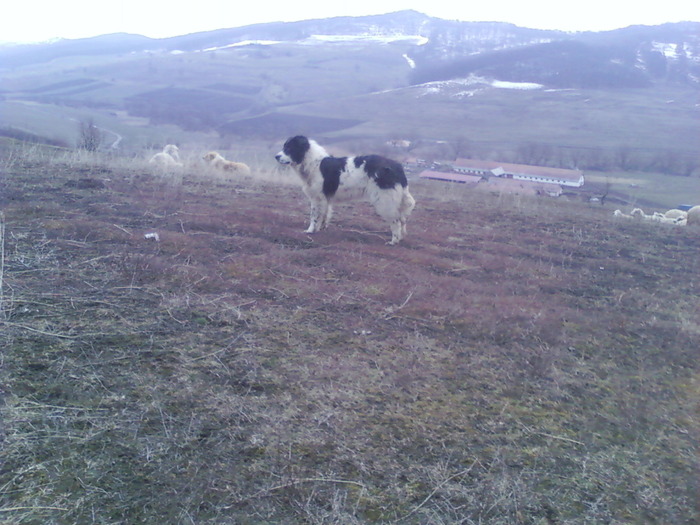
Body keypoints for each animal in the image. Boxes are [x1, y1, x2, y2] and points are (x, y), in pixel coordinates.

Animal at [274, 134, 416, 243]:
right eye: (284, 147)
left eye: (289, 148)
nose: (276, 156)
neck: (314, 163)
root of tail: (397, 167)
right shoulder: (325, 198)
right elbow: (324, 215)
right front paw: (320, 229)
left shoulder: (317, 197)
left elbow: (314, 216)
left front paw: (310, 231)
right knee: (402, 219)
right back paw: (400, 238)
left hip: (385, 200)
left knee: (396, 221)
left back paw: (394, 241)